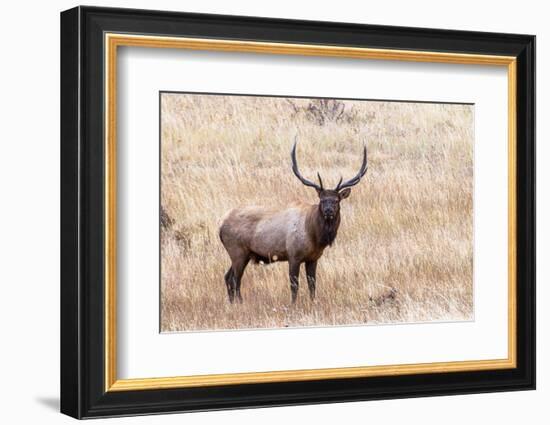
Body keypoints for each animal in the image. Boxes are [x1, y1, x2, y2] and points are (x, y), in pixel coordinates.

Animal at [220, 141, 370, 304]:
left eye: (336, 200)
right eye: (322, 199)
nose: (328, 210)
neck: (314, 236)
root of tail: (220, 226)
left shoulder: (313, 258)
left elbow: (312, 284)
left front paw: (312, 302)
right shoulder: (293, 255)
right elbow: (294, 285)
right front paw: (293, 304)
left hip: (243, 254)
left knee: (228, 276)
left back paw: (233, 303)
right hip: (237, 251)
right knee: (235, 279)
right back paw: (240, 303)